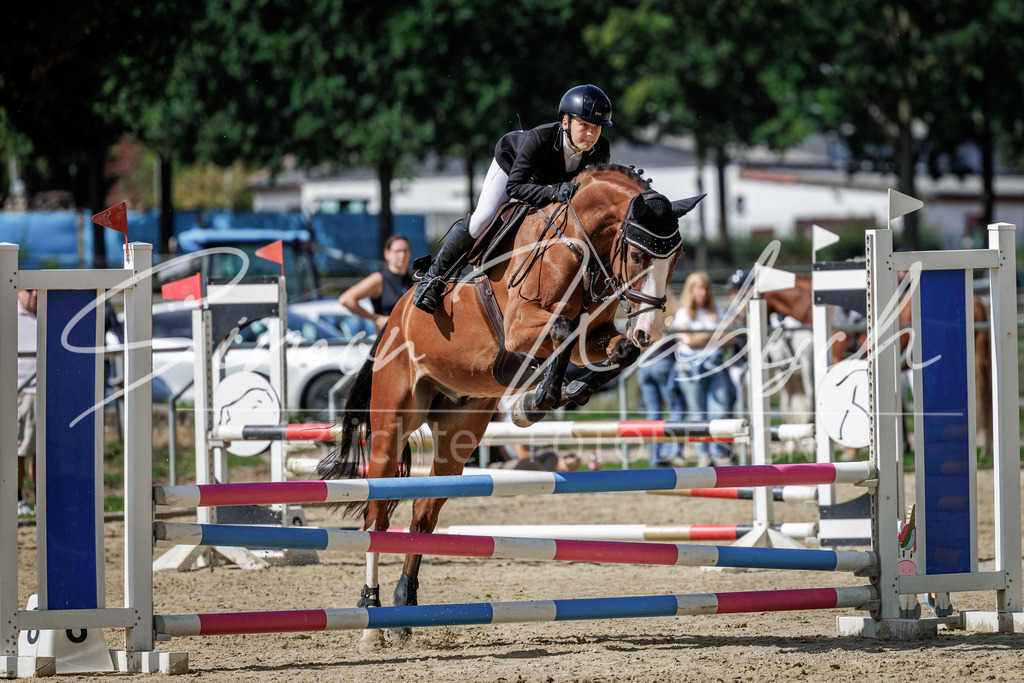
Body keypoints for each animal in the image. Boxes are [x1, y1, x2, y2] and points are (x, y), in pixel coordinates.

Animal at [318, 164, 702, 652]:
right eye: (636, 256)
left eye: (676, 257)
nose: (650, 331)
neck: (578, 244)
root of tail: (391, 323)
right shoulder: (523, 328)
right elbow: (563, 328)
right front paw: (538, 399)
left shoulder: (598, 334)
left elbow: (615, 351)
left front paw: (553, 396)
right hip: (392, 423)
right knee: (377, 519)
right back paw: (371, 619)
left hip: (459, 434)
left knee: (423, 515)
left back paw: (404, 611)